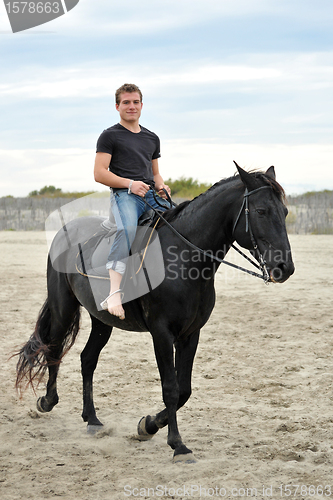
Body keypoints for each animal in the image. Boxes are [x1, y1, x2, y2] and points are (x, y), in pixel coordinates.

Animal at [15, 166, 294, 462]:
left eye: (285, 212)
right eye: (261, 211)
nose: (285, 267)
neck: (184, 259)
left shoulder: (190, 334)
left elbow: (184, 390)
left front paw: (147, 426)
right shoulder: (161, 333)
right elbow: (170, 388)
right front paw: (178, 445)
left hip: (102, 321)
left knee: (87, 359)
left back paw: (92, 419)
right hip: (63, 307)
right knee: (54, 349)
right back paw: (47, 402)